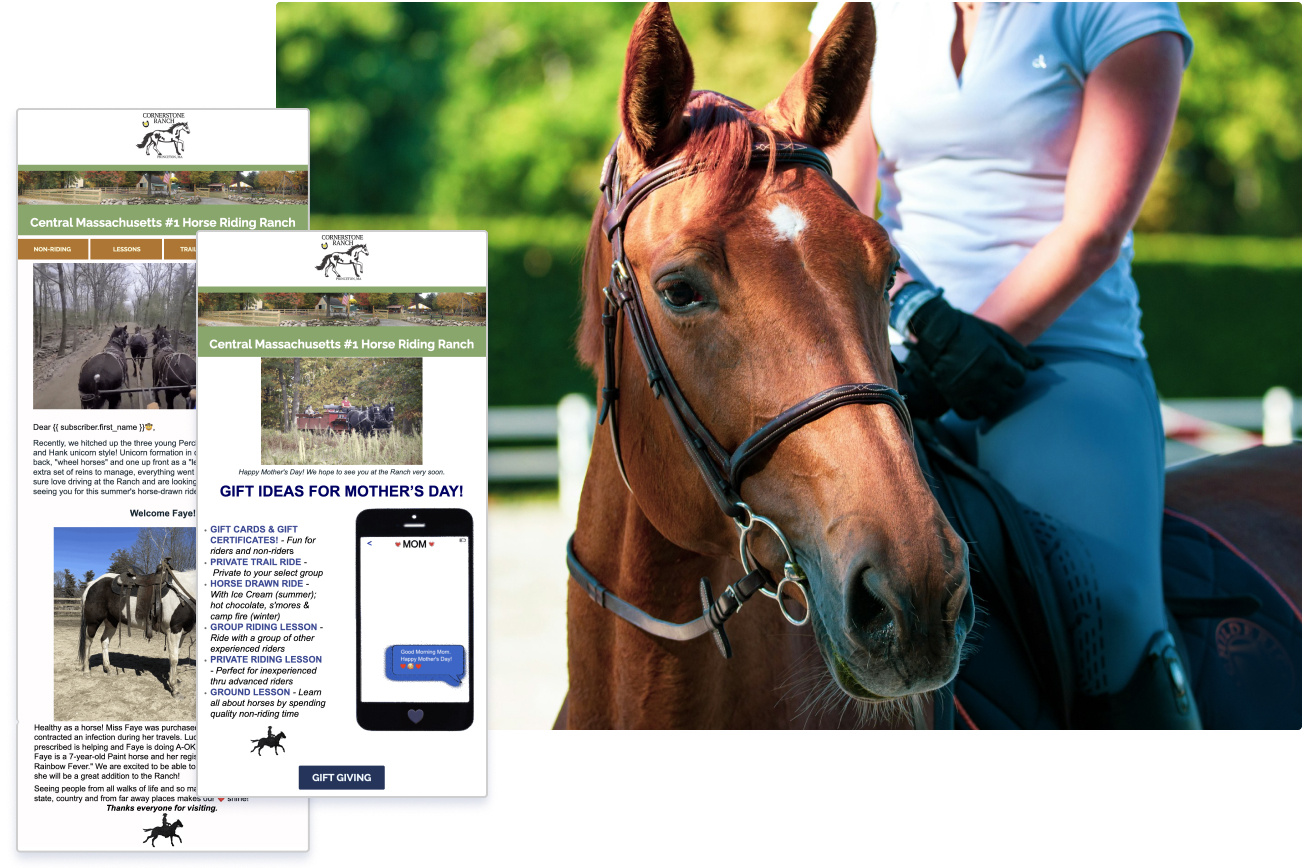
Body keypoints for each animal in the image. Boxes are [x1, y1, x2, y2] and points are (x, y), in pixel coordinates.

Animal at [78, 559, 197, 696]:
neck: (183, 592)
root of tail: (92, 584)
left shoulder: (182, 632)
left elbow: (176, 654)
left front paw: (176, 680)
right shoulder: (174, 630)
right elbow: (173, 658)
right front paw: (174, 688)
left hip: (111, 622)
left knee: (104, 641)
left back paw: (108, 668)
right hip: (93, 622)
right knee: (88, 642)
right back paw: (87, 671)